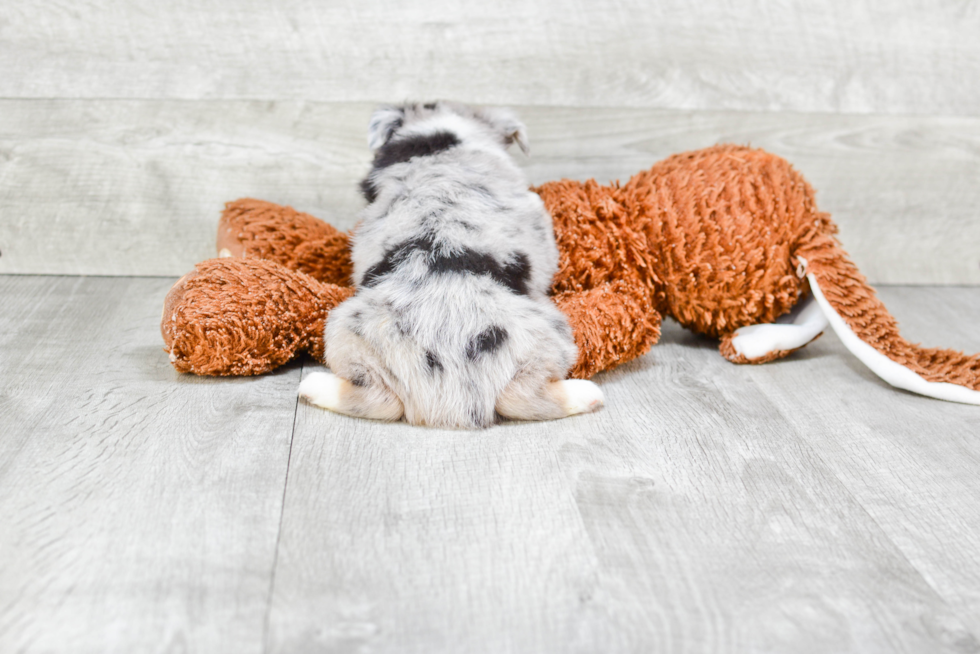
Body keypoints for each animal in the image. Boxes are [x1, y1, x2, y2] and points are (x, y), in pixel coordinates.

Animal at [298, 101, 604, 430]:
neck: (443, 147)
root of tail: (447, 397)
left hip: (347, 334)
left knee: (380, 399)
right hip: (551, 338)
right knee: (519, 397)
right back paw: (589, 393)